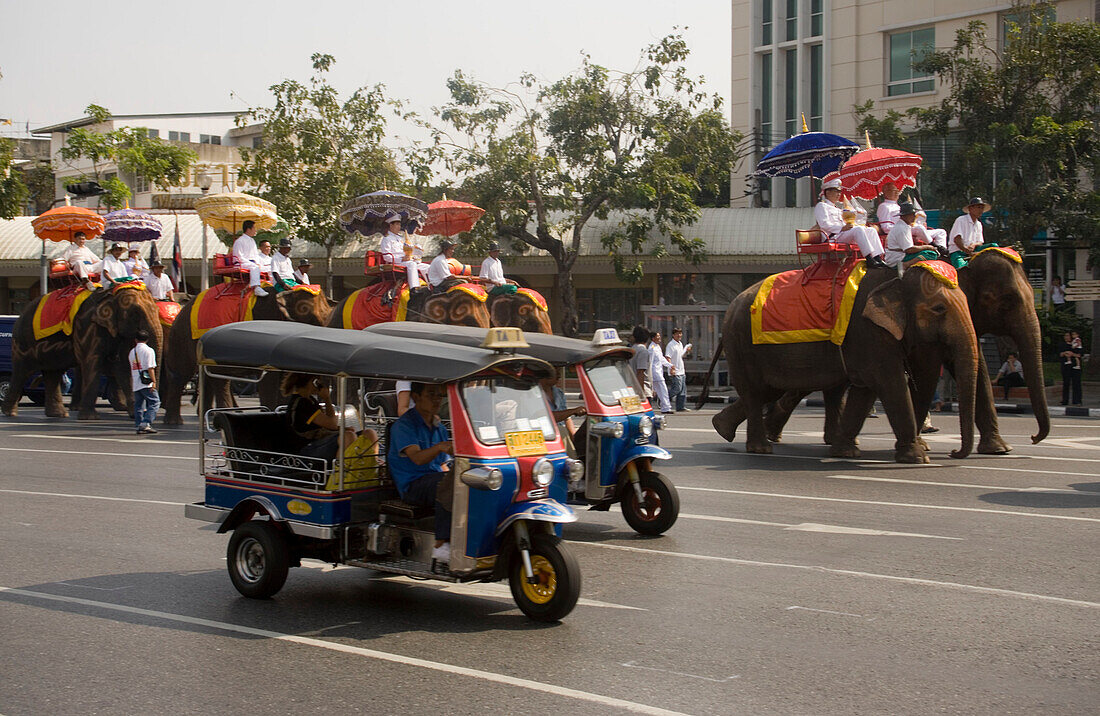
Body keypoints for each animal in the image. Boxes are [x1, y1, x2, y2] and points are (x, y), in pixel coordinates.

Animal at [1, 283, 162, 420]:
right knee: (21, 372)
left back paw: (58, 415)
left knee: (53, 373)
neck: (111, 294)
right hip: (23, 343)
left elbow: (123, 367)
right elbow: (92, 363)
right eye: (135, 313)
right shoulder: (87, 328)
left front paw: (135, 414)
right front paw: (90, 418)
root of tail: (20, 314)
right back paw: (10, 413)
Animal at [159, 288, 330, 426]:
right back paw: (175, 422)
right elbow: (269, 379)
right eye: (308, 313)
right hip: (182, 333)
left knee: (214, 379)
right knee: (181, 373)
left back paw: (213, 415)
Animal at [712, 265, 981, 464]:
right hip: (742, 343)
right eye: (939, 308)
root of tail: (731, 306)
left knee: (768, 390)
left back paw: (722, 428)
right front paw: (917, 458)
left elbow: (866, 391)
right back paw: (760, 448)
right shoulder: (868, 331)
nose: (953, 453)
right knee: (755, 391)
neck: (896, 279)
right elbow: (890, 383)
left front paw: (846, 452)